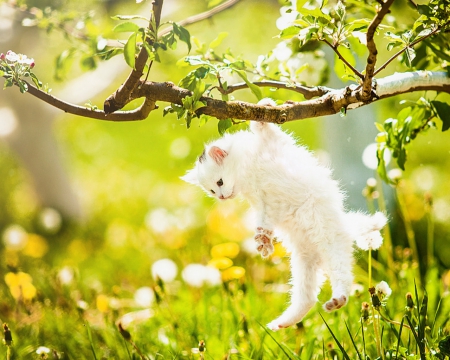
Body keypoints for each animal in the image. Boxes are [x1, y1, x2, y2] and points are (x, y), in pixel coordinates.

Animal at [181, 99, 384, 332]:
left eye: (219, 182)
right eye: (213, 192)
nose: (223, 197)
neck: (248, 170)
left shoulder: (276, 144)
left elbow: (265, 128)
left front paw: (265, 105)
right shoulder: (263, 204)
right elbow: (263, 224)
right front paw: (263, 242)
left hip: (330, 243)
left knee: (343, 276)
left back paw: (338, 299)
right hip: (303, 263)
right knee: (307, 298)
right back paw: (281, 323)